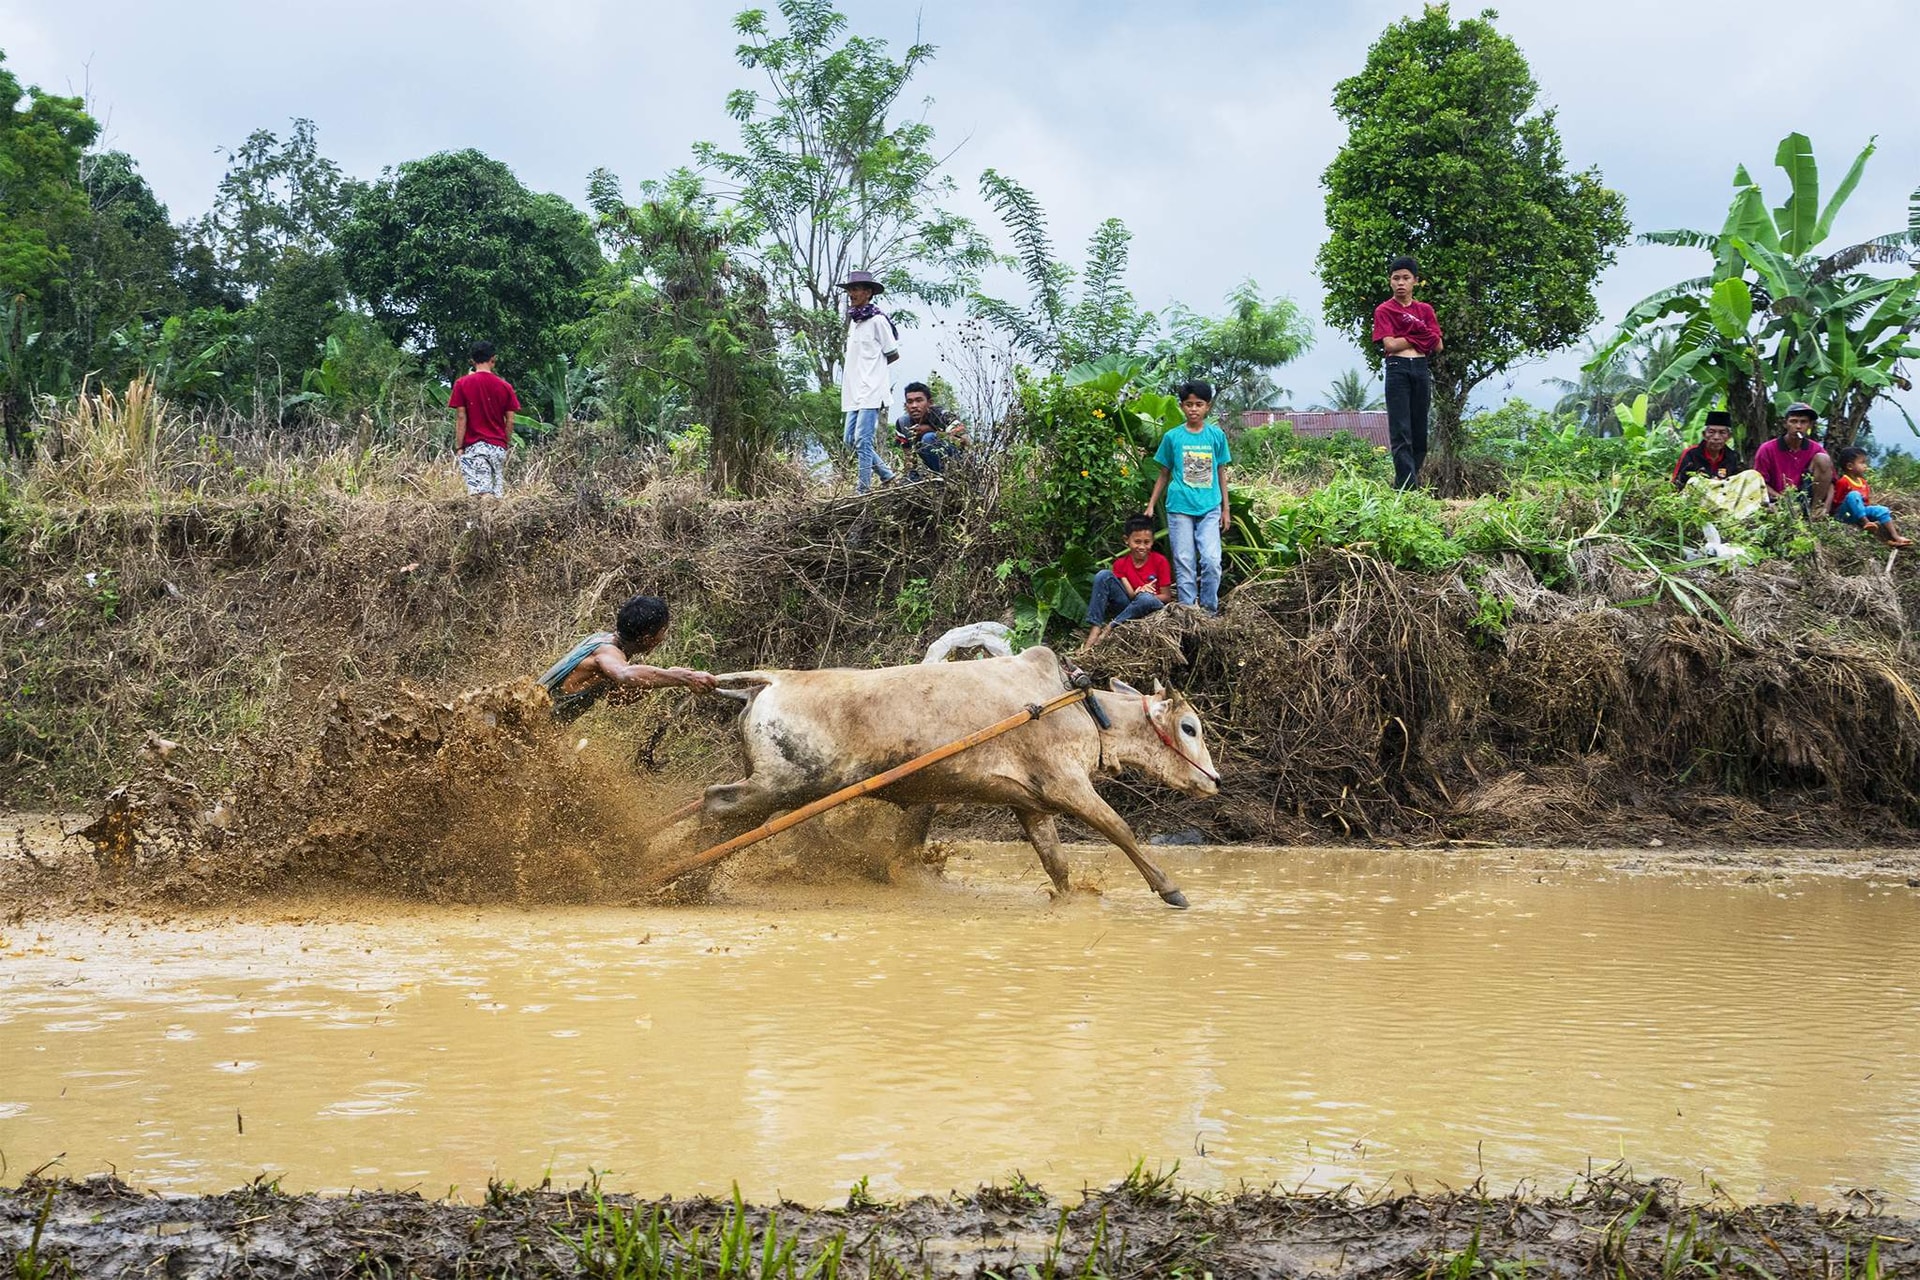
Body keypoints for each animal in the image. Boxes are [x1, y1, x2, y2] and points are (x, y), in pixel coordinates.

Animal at [698, 644, 1221, 905]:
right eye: (1189, 727)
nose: (1214, 782)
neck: (1085, 707)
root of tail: (772, 679)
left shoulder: (1031, 804)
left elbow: (1057, 864)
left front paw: (1072, 900)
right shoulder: (1067, 785)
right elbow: (1121, 830)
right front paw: (1170, 890)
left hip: (777, 789)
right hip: (784, 785)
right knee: (713, 802)